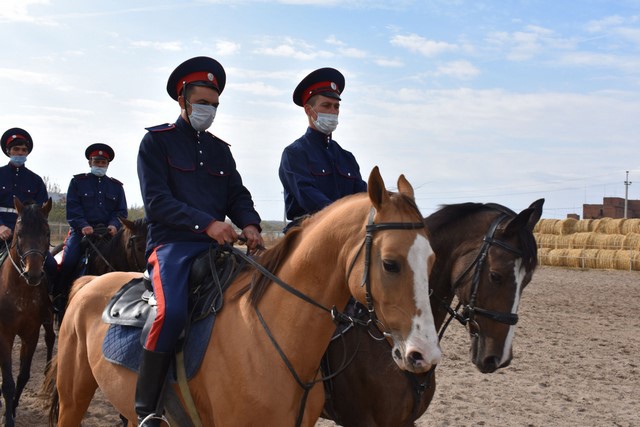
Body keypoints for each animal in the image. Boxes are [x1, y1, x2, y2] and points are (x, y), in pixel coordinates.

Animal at [46, 168, 444, 427]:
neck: (271, 339)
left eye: (432, 260)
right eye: (390, 263)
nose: (424, 355)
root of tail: (90, 283)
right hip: (73, 397)